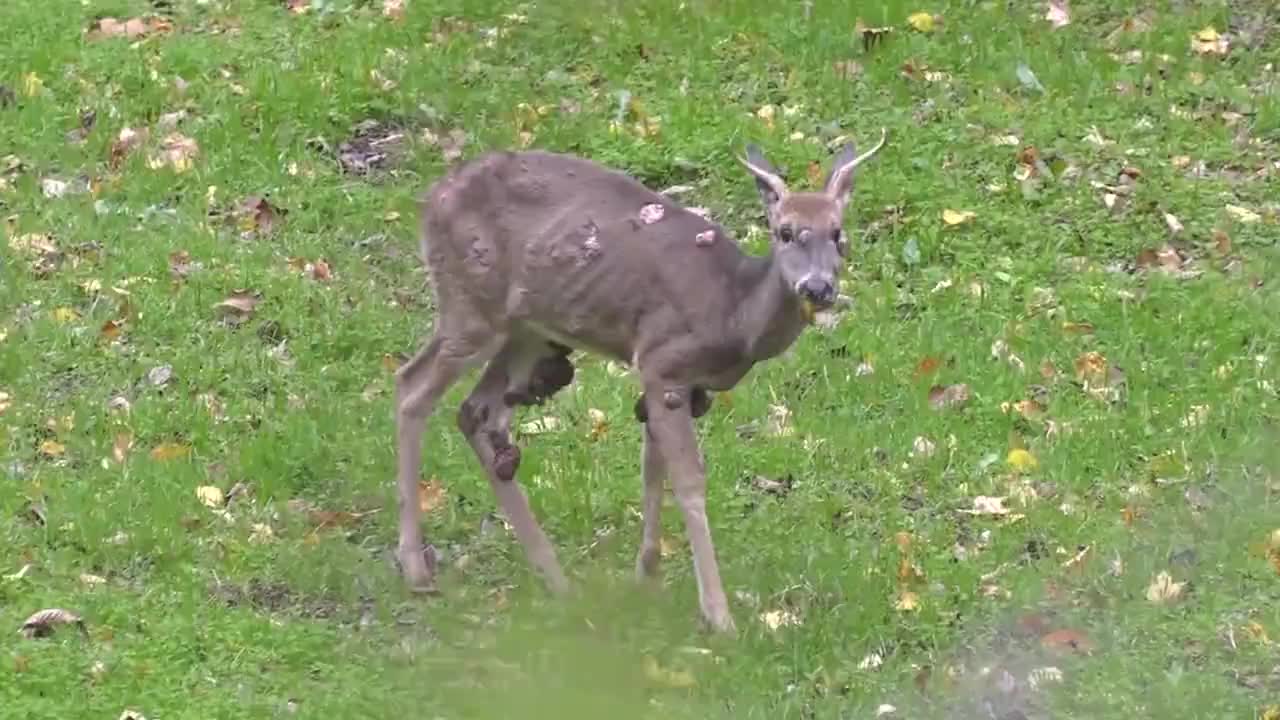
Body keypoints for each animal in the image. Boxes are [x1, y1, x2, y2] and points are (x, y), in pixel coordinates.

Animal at [394, 126, 885, 630]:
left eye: (838, 234)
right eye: (784, 232)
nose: (818, 288)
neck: (734, 314)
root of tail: (430, 202)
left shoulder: (680, 383)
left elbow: (653, 467)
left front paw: (646, 573)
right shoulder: (661, 359)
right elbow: (688, 481)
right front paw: (718, 615)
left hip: (527, 331)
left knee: (476, 413)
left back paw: (556, 579)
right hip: (472, 306)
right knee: (411, 387)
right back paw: (416, 568)